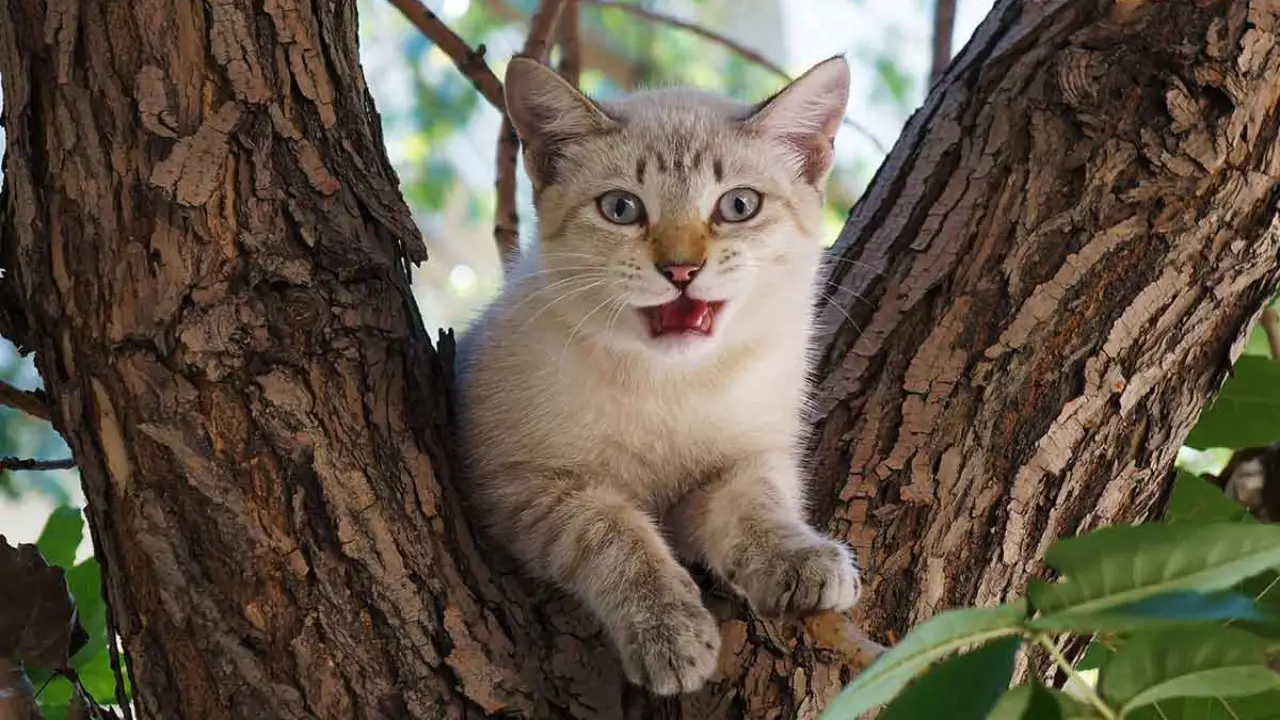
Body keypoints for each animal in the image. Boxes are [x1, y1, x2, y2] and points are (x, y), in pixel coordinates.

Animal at [455, 57, 865, 696]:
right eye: (622, 209)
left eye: (738, 206)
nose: (681, 269)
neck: (674, 383)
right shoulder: (525, 483)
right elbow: (617, 538)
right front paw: (668, 631)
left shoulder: (746, 457)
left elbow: (760, 502)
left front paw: (800, 558)